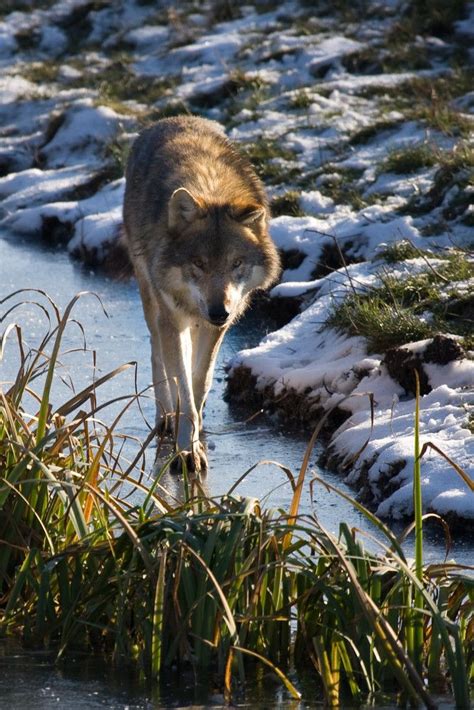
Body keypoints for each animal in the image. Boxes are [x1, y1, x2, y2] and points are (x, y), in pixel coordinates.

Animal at [122, 115, 280, 472]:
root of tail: (174, 118)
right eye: (198, 263)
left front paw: (194, 435)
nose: (219, 311)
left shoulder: (217, 326)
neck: (211, 188)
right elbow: (181, 381)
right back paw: (165, 417)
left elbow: (200, 381)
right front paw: (186, 451)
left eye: (236, 263)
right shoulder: (174, 319)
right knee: (157, 353)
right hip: (153, 302)